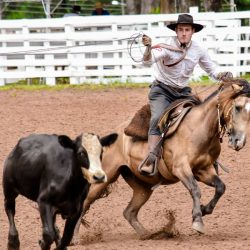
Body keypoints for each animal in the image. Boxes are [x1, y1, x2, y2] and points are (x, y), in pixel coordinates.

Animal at [72, 78, 250, 242]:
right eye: (237, 107)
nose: (239, 142)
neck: (199, 128)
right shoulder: (181, 169)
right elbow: (195, 189)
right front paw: (197, 220)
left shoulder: (204, 170)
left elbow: (221, 187)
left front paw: (205, 209)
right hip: (104, 178)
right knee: (85, 203)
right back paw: (75, 238)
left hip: (142, 187)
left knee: (129, 212)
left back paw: (149, 234)